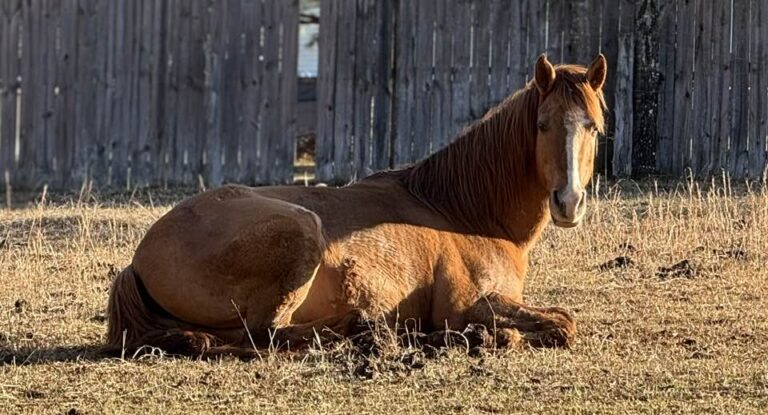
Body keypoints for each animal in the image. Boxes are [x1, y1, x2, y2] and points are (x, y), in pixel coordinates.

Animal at [106, 54, 607, 356]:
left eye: (593, 127)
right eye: (542, 125)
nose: (568, 202)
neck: (464, 215)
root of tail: (140, 256)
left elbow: (560, 318)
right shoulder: (467, 304)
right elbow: (561, 324)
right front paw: (489, 335)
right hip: (300, 231)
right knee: (264, 334)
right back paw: (365, 330)